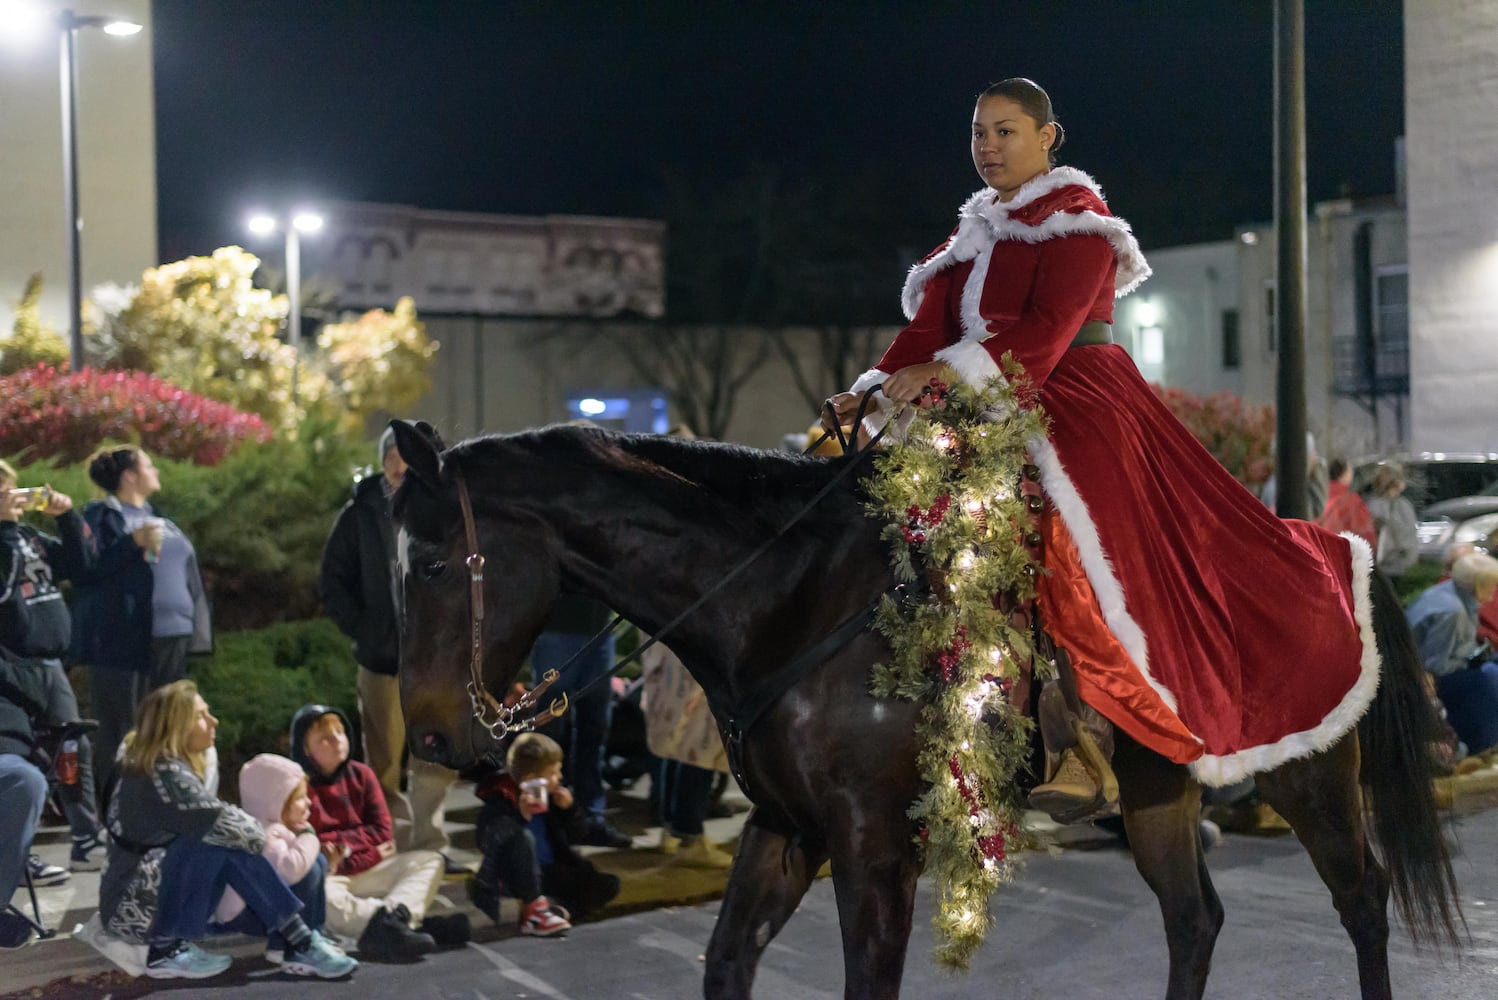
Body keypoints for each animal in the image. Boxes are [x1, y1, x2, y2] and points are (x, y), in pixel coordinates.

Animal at [392, 419, 1456, 999]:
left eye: (434, 563)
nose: (436, 733)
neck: (788, 598)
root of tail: (1326, 543)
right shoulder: (785, 830)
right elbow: (727, 963)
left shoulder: (873, 845)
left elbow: (869, 983)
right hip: (1160, 790)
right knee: (1194, 921)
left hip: (1309, 773)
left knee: (1363, 898)